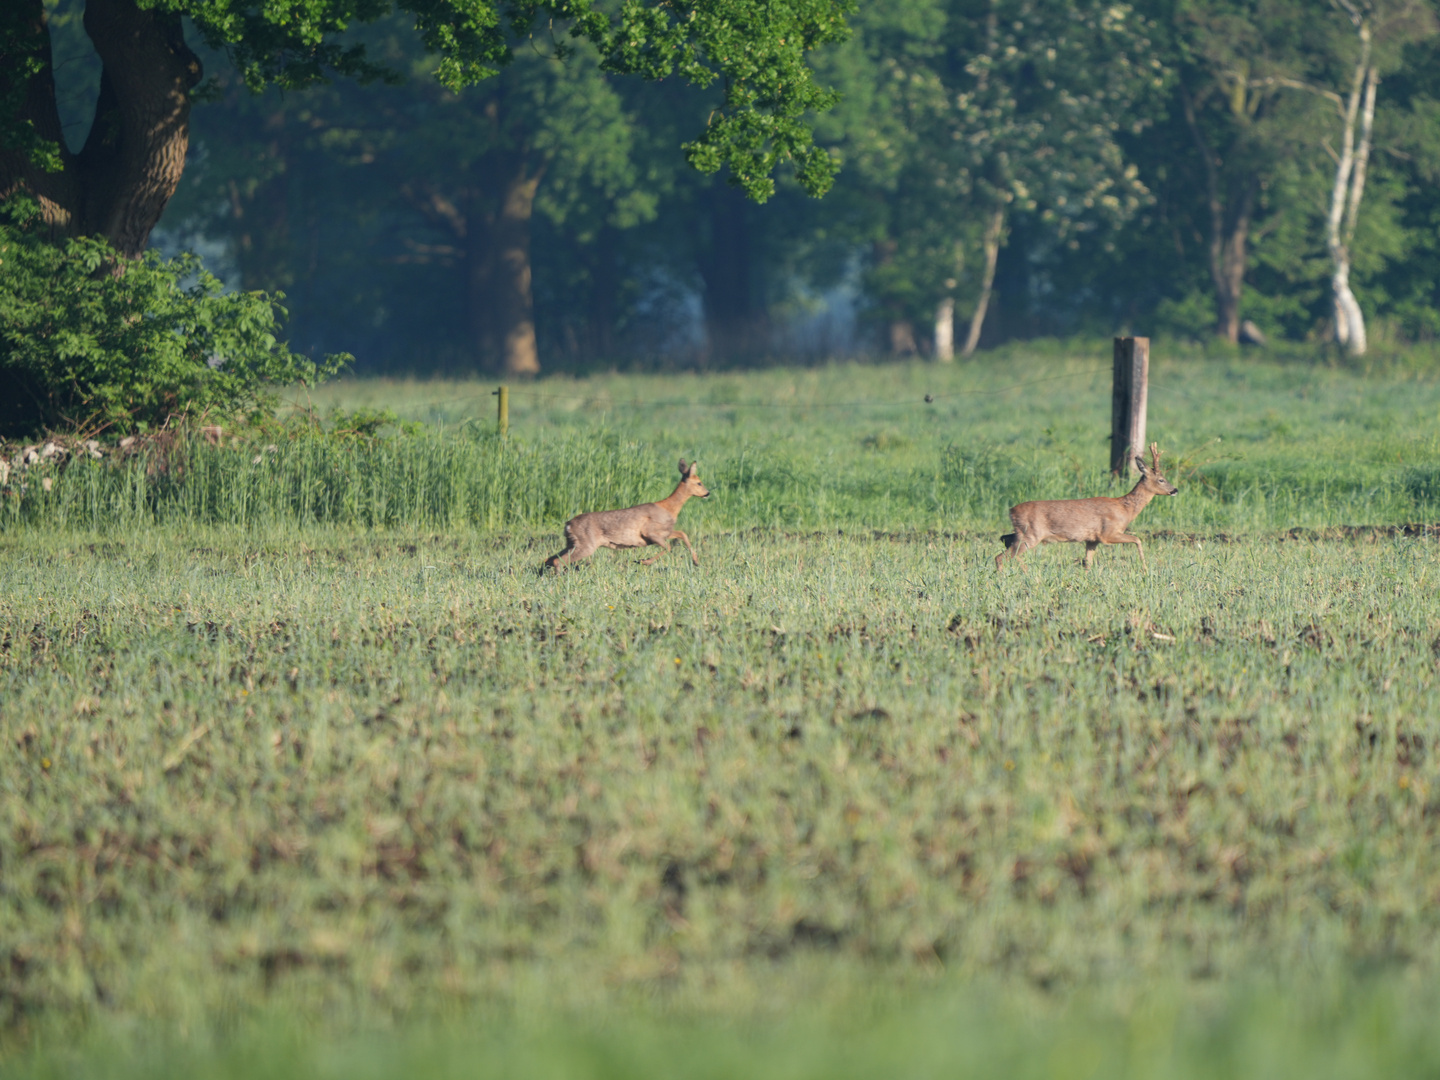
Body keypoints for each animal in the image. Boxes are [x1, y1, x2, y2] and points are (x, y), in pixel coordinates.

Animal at [541, 457, 711, 576]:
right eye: (699, 483)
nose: (708, 493)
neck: (669, 508)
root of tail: (568, 524)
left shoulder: (664, 532)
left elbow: (682, 534)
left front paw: (696, 562)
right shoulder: (651, 532)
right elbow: (668, 547)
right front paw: (643, 562)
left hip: (572, 543)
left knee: (550, 558)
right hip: (586, 544)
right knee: (558, 560)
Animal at [996, 443, 1175, 576]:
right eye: (1161, 479)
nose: (1175, 490)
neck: (1125, 509)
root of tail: (1011, 510)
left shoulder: (1092, 539)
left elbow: (1088, 563)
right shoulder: (1107, 533)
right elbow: (1137, 539)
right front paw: (1145, 569)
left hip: (1023, 533)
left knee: (1005, 540)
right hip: (1031, 534)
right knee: (1001, 557)